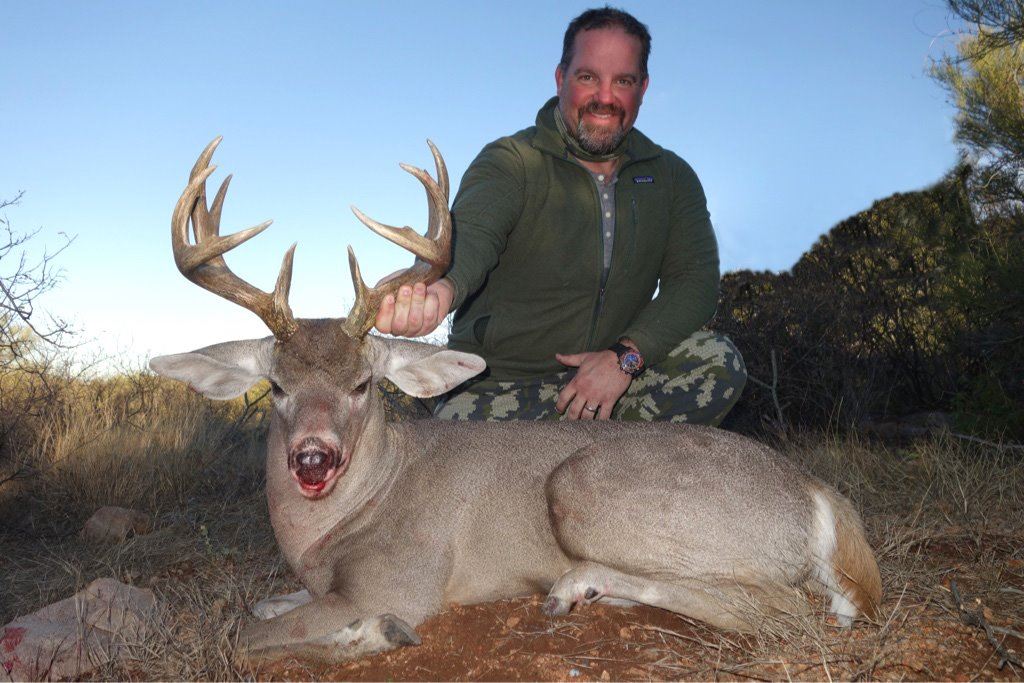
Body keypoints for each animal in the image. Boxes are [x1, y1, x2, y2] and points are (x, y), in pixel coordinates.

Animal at [150, 137, 882, 666]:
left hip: (585, 486)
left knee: (786, 609)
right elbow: (262, 608)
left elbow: (240, 636)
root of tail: (816, 492)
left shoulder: (401, 577)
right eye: (277, 386)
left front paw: (374, 634)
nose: (311, 458)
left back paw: (579, 586)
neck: (331, 528)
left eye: (363, 384)